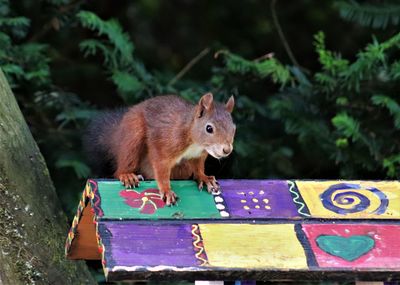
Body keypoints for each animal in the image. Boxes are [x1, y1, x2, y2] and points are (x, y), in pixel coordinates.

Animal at [83, 93, 234, 204]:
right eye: (209, 128)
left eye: (233, 128)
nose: (227, 150)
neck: (195, 143)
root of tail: (118, 135)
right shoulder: (165, 142)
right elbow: (161, 166)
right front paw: (166, 190)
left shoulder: (197, 156)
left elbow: (198, 168)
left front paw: (204, 178)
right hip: (133, 136)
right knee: (121, 167)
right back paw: (127, 175)